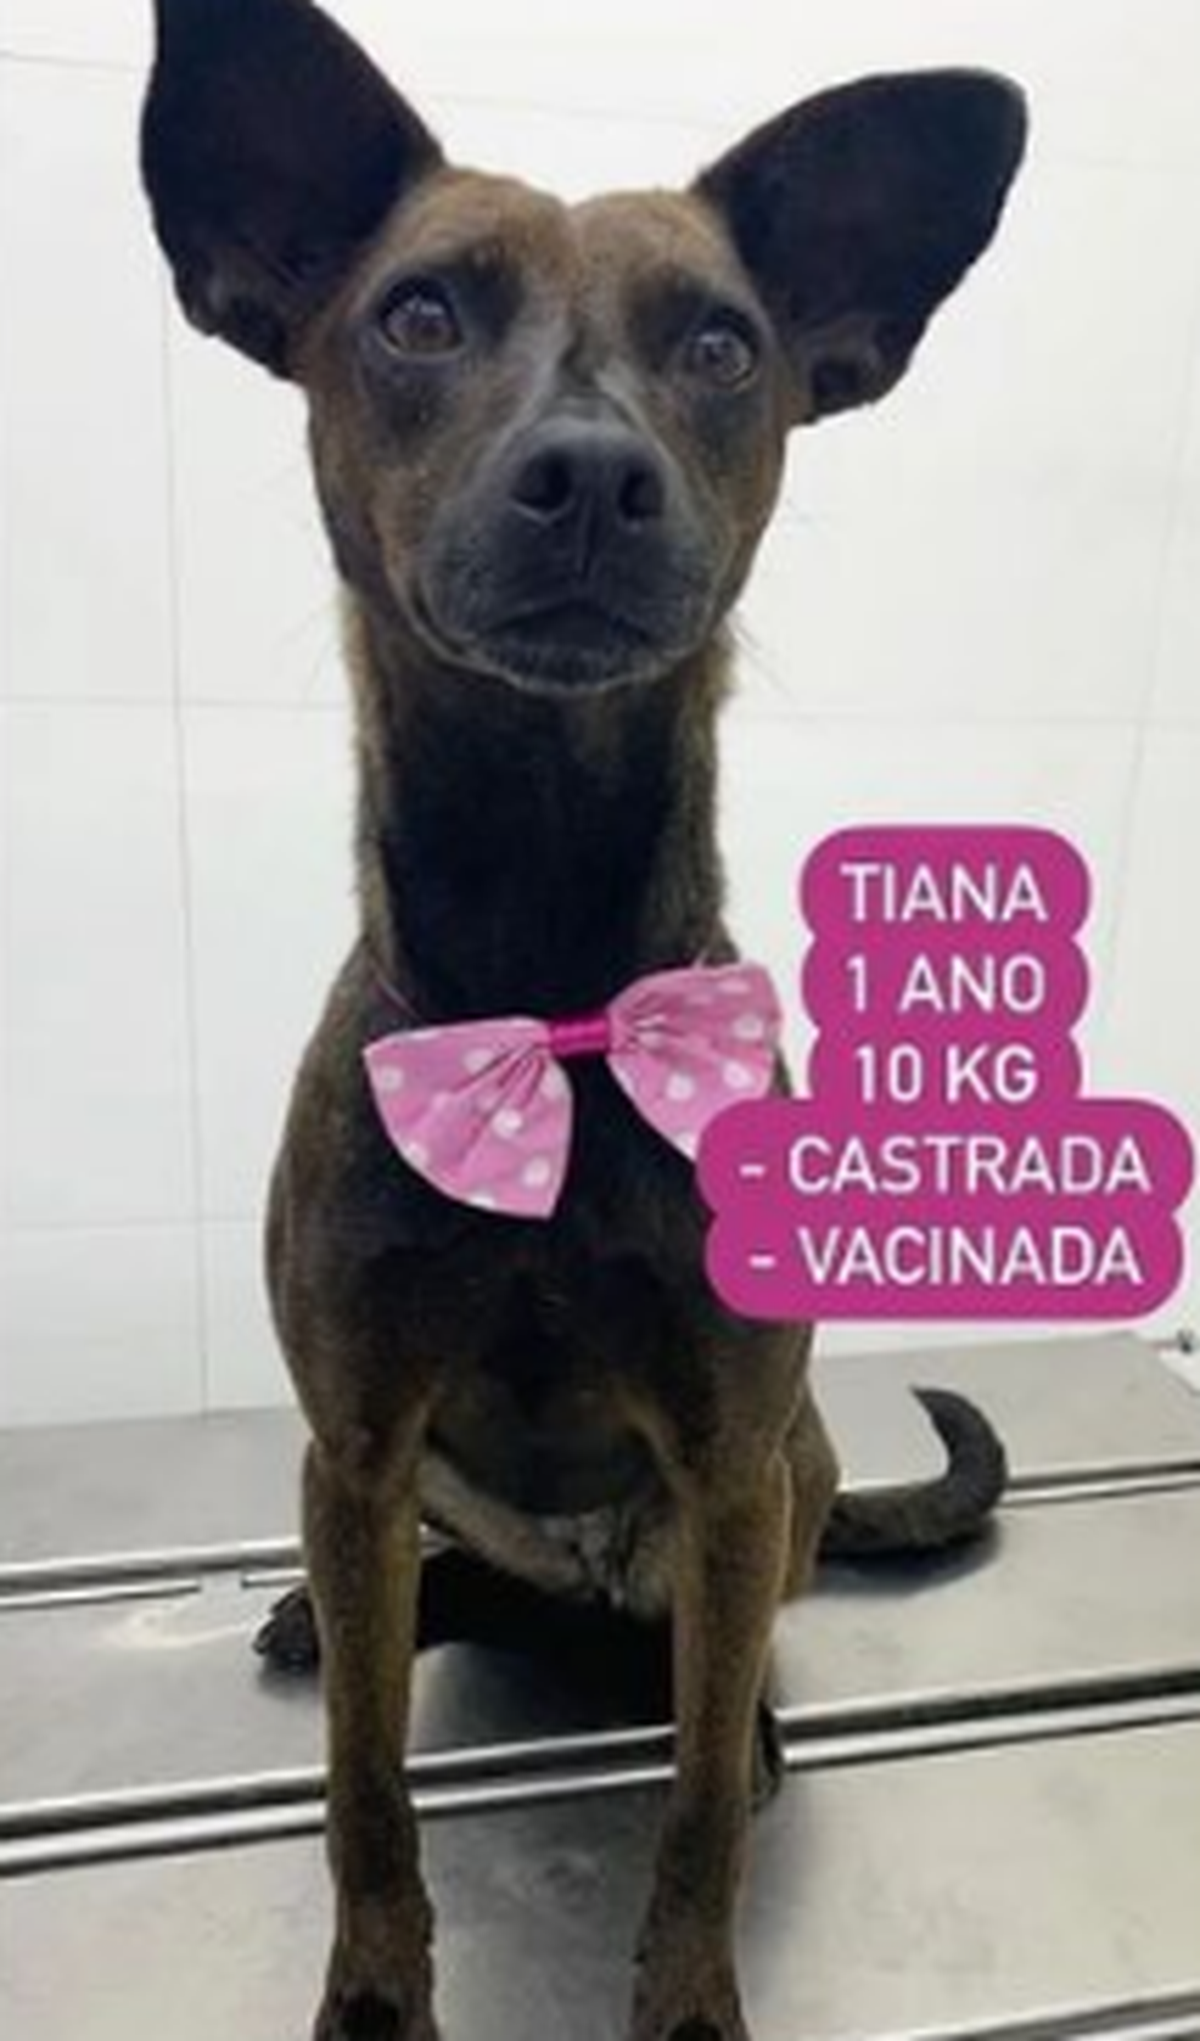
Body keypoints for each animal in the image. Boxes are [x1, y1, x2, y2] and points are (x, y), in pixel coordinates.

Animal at [141, 4, 1025, 2037]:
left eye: (720, 345)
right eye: (416, 315)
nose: (596, 476)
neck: (542, 998)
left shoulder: (721, 1457)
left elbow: (690, 1808)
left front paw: (688, 1995)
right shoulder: (358, 1442)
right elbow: (366, 1787)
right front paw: (375, 1992)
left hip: (770, 1484)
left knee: (724, 1651)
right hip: (413, 1492)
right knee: (430, 1601)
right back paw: (343, 1611)